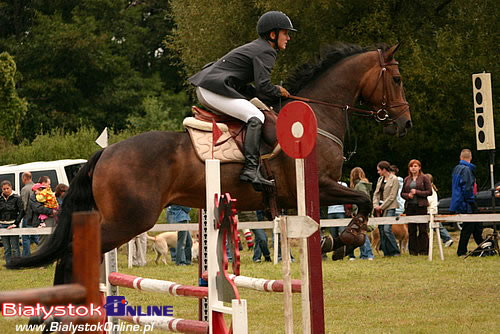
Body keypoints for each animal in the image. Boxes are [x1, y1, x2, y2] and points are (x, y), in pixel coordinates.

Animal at [7, 41, 412, 282]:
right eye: (396, 78)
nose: (404, 124)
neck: (316, 116)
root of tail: (106, 152)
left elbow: (359, 202)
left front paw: (339, 242)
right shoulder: (316, 187)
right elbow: (361, 200)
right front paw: (344, 238)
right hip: (129, 219)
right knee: (72, 255)